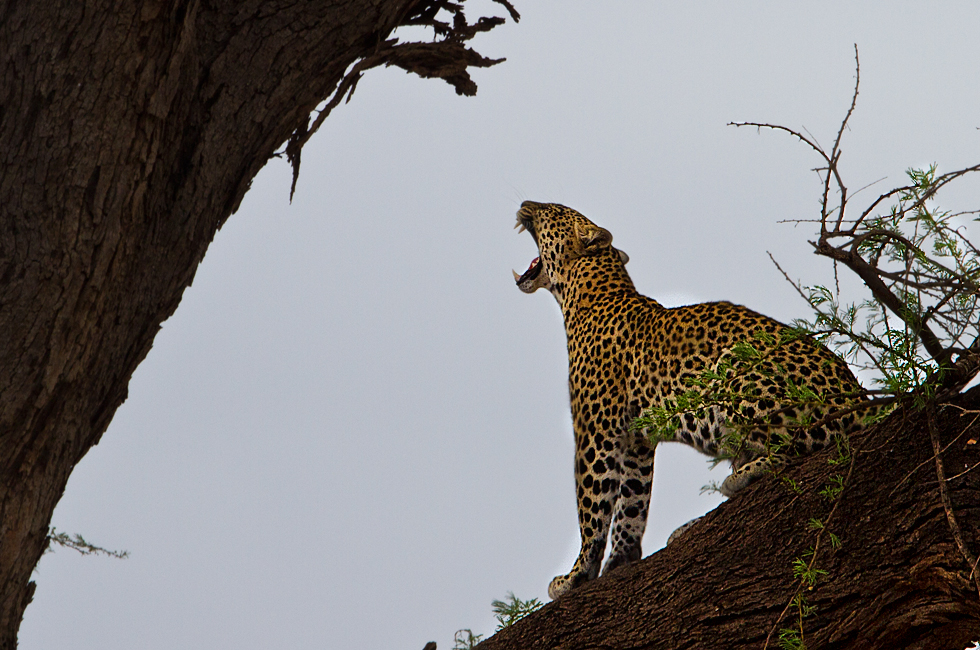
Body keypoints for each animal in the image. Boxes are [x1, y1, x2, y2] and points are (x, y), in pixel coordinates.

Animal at [512, 199, 880, 596]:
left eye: (553, 210)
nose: (525, 204)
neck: (583, 293)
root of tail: (858, 395)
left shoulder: (595, 431)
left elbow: (592, 506)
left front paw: (575, 575)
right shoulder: (636, 437)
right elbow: (631, 501)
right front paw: (620, 560)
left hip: (738, 368)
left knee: (802, 444)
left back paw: (738, 480)